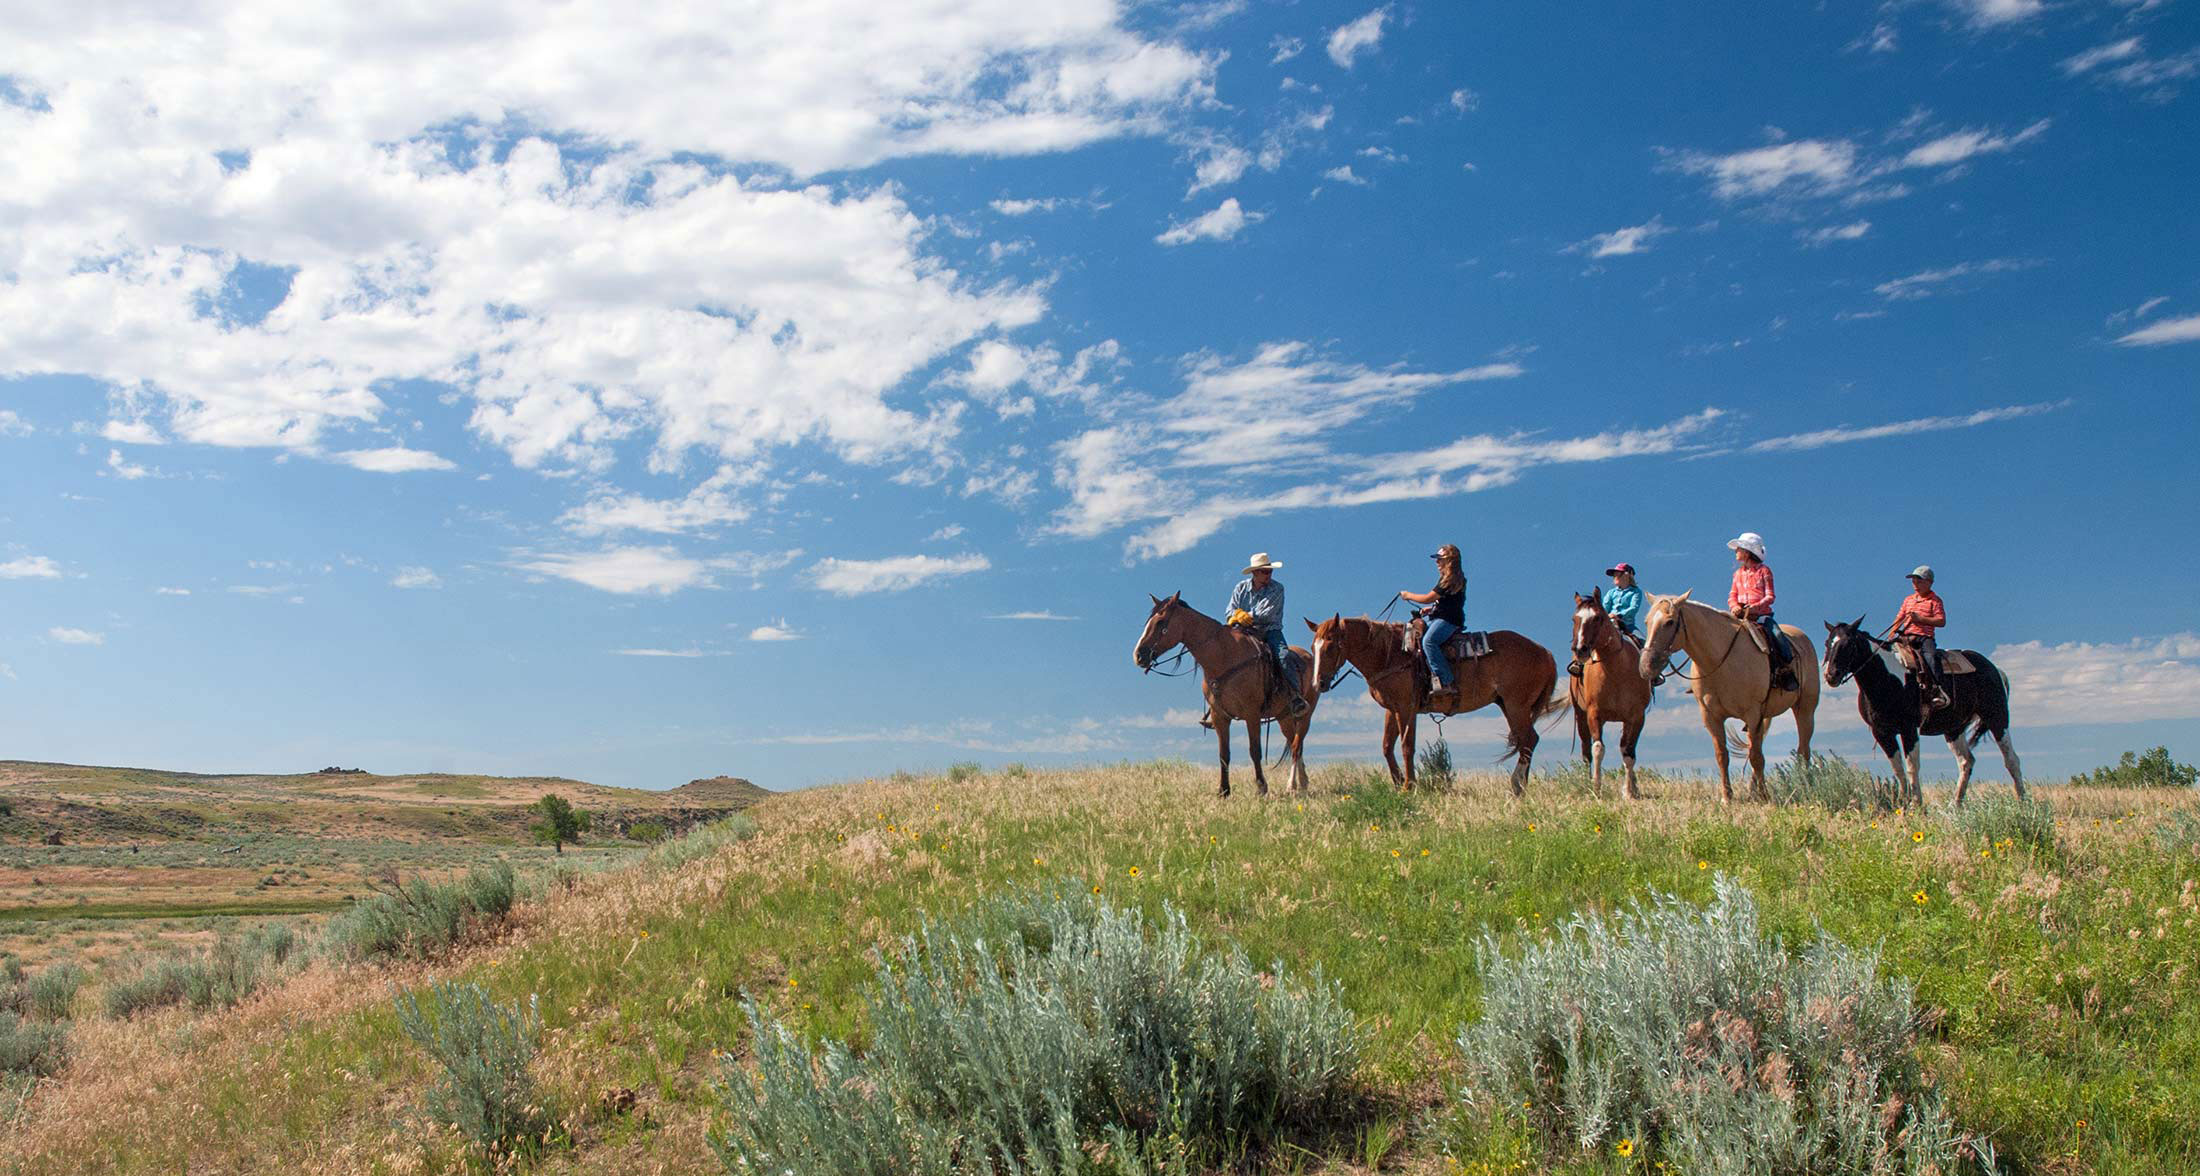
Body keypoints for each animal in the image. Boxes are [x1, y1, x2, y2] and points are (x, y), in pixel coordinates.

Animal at [1126, 593, 1311, 795]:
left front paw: (1261, 787)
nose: (1138, 655)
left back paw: (1296, 785)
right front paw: (1224, 790)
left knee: (1297, 744)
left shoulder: (1252, 714)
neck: (1225, 656)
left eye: (1160, 622)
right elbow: (1224, 754)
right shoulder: (1219, 716)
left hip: (1303, 714)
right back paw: (1300, 784)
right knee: (1295, 743)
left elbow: (1255, 750)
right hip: (1283, 716)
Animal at [1302, 611, 1566, 795]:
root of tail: (1545, 653)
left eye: (1331, 645)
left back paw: (1517, 783)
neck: (1389, 654)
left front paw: (1409, 786)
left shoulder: (1406, 708)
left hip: (1516, 706)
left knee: (1529, 740)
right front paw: (1399, 782)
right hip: (1508, 706)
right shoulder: (1393, 709)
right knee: (1526, 741)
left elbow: (1407, 746)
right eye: (1313, 646)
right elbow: (1387, 746)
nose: (1318, 683)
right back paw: (1521, 785)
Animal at [1566, 589, 1654, 800]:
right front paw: (1596, 787)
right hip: (1580, 715)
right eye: (1574, 618)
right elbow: (1597, 749)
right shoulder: (1593, 714)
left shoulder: (1636, 717)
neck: (1616, 670)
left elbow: (1628, 753)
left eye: (1597, 618)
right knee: (1586, 751)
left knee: (1625, 748)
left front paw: (1629, 791)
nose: (1580, 649)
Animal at [1645, 593, 1812, 804]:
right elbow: (1722, 755)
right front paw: (1727, 797)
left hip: (1805, 709)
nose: (1647, 664)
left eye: (1669, 622)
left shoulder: (1752, 713)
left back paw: (1807, 784)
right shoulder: (1711, 716)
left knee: (1803, 750)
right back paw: (1753, 790)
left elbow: (1756, 757)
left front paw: (1765, 797)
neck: (1720, 661)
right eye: (1647, 622)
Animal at [1821, 615, 2024, 808]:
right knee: (1966, 762)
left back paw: (2022, 802)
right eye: (1827, 643)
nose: (1831, 675)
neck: (1885, 678)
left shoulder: (1909, 727)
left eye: (1849, 644)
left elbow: (1912, 765)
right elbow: (1898, 768)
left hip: (1997, 718)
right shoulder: (1881, 732)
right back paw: (1955, 805)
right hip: (1953, 728)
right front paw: (1901, 802)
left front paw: (1915, 803)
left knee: (2011, 760)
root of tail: (1995, 669)